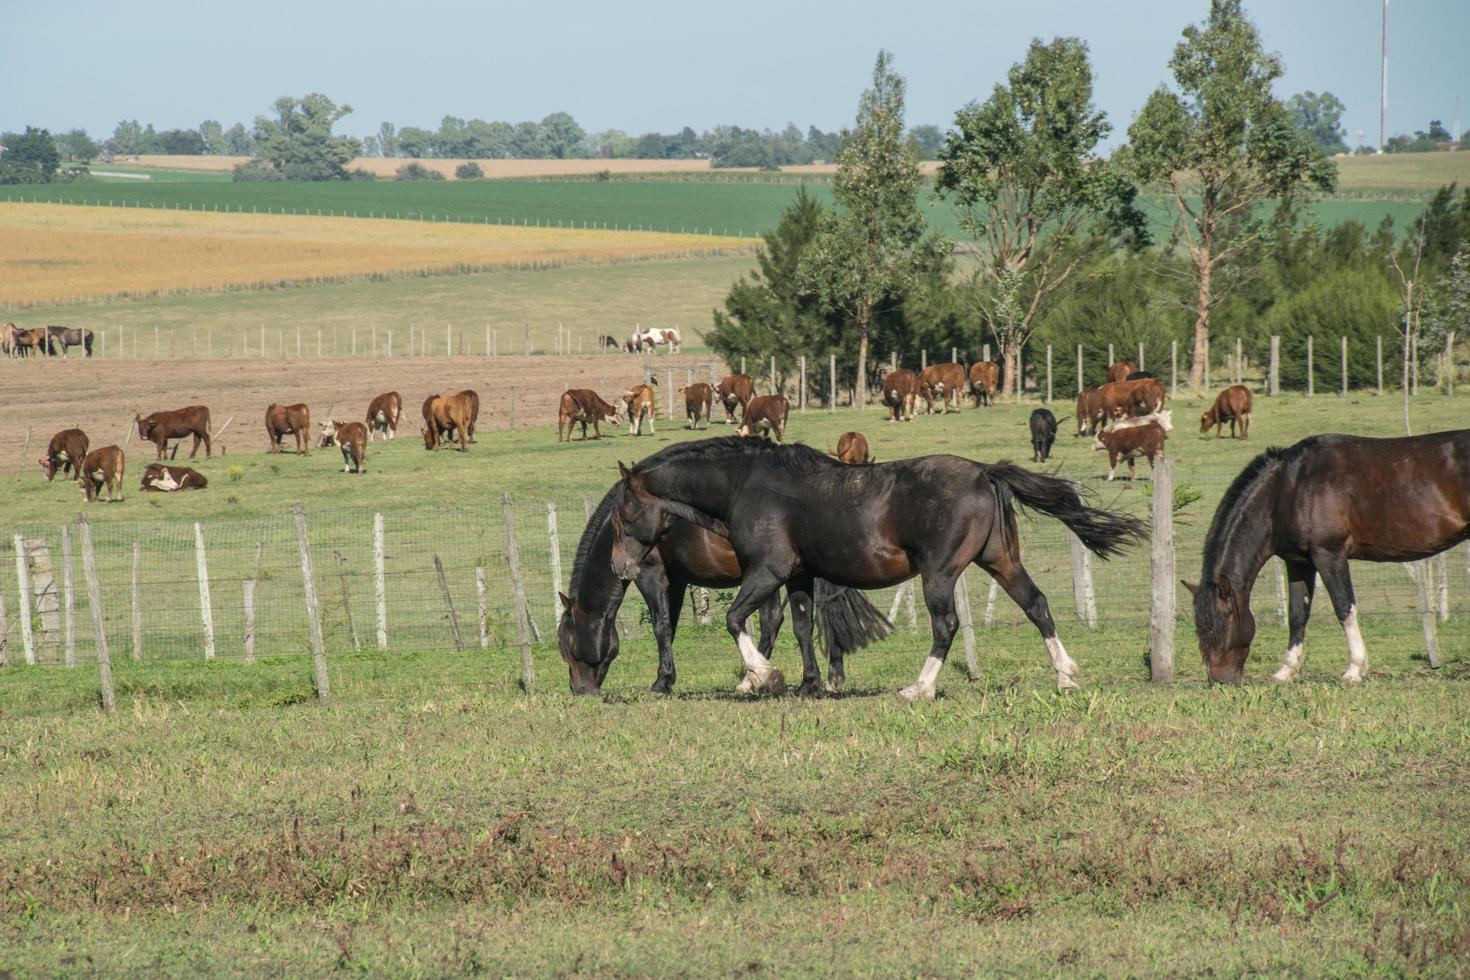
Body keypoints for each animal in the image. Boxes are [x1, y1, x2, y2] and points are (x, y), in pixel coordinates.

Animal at [558, 481, 882, 696]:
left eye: (569, 647)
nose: (578, 690)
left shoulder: (651, 575)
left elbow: (661, 627)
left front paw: (662, 682)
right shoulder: (677, 581)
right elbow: (670, 627)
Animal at [608, 440, 1146, 702]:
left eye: (625, 511)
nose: (620, 565)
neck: (746, 486)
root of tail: (982, 471)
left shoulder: (767, 571)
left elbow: (735, 619)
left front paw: (765, 678)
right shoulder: (797, 576)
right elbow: (801, 626)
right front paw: (808, 685)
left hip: (939, 573)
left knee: (946, 625)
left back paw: (919, 689)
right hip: (1000, 561)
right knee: (1037, 606)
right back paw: (1066, 677)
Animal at [1181, 431, 1470, 687]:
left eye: (1219, 627)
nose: (1220, 681)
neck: (1289, 488)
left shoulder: (1329, 555)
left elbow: (1344, 608)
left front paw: (1354, 669)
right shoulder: (1299, 562)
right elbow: (1297, 614)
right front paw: (1286, 671)